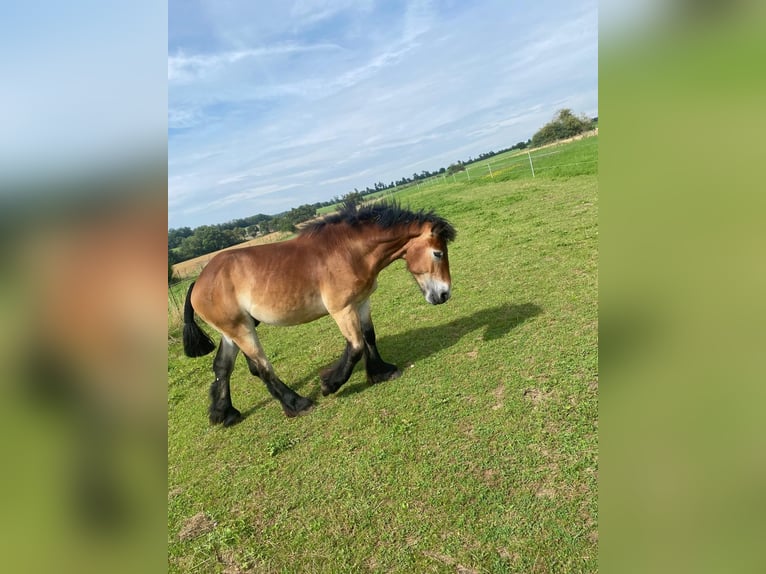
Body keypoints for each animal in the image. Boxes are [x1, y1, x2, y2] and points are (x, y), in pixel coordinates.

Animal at [182, 202, 456, 428]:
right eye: (438, 253)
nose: (444, 294)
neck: (348, 251)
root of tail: (199, 282)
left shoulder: (361, 302)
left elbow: (369, 337)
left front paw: (381, 372)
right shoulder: (341, 309)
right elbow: (356, 346)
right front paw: (330, 384)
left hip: (232, 331)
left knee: (222, 367)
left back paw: (224, 413)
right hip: (241, 330)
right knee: (262, 368)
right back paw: (297, 404)